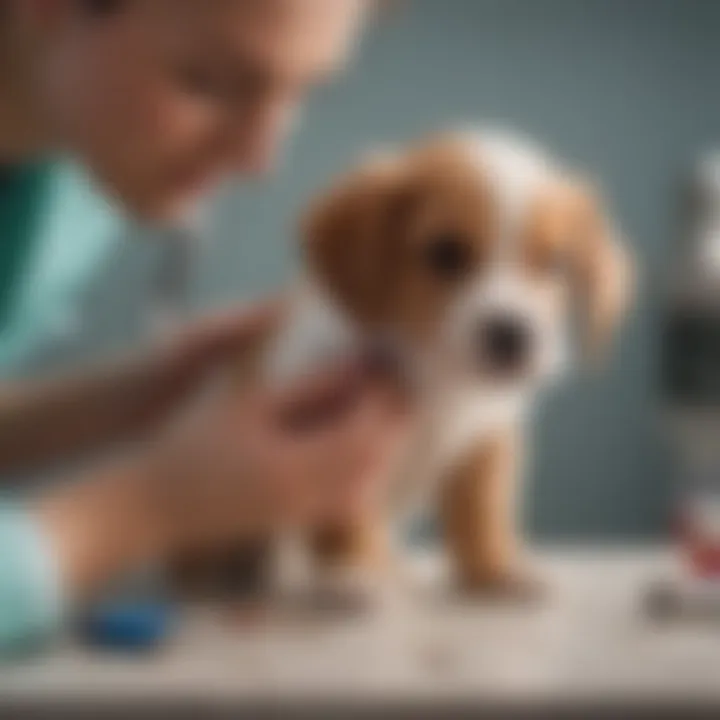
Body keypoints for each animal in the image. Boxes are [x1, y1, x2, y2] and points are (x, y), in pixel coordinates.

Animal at [173, 128, 632, 608]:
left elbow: (481, 513)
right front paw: (350, 571)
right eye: (445, 252)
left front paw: (495, 570)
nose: (513, 335)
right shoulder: (327, 444)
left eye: (555, 263)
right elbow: (343, 521)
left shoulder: (485, 442)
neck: (434, 378)